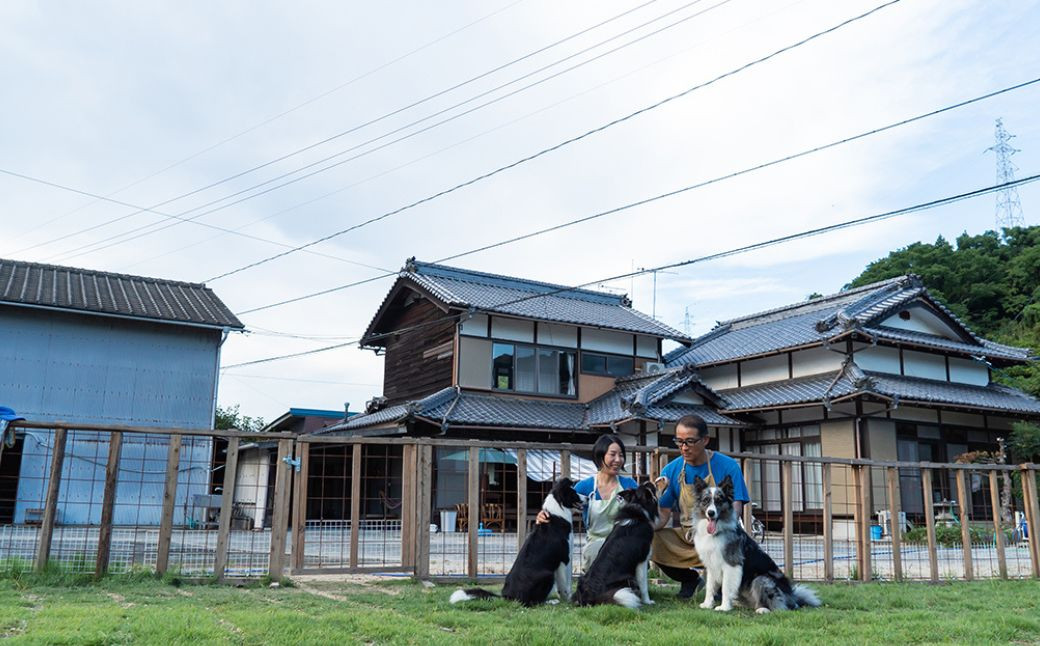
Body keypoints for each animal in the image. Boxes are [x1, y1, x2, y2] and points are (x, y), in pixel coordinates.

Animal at [451, 476, 590, 607]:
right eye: (574, 493)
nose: (588, 497)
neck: (557, 512)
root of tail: (507, 596)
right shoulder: (564, 558)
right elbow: (565, 585)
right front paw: (568, 599)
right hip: (548, 574)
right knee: (532, 602)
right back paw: (550, 602)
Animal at [569, 478, 657, 611]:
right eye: (648, 490)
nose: (648, 481)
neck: (636, 510)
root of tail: (587, 596)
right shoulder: (642, 560)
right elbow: (644, 585)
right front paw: (648, 601)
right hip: (629, 579)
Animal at [690, 476, 819, 611]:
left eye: (719, 501)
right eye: (706, 500)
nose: (711, 513)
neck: (717, 532)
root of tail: (792, 597)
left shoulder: (732, 563)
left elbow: (725, 587)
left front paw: (724, 607)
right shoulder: (711, 565)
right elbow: (710, 587)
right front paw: (707, 604)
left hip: (761, 579)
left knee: (779, 606)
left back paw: (762, 609)